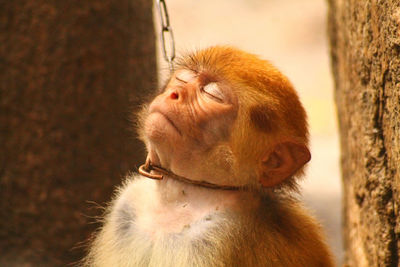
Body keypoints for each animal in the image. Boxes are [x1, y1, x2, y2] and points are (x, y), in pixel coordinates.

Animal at [83, 46, 334, 267]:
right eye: (184, 79)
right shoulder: (127, 204)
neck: (179, 198)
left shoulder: (219, 238)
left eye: (213, 95)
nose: (174, 94)